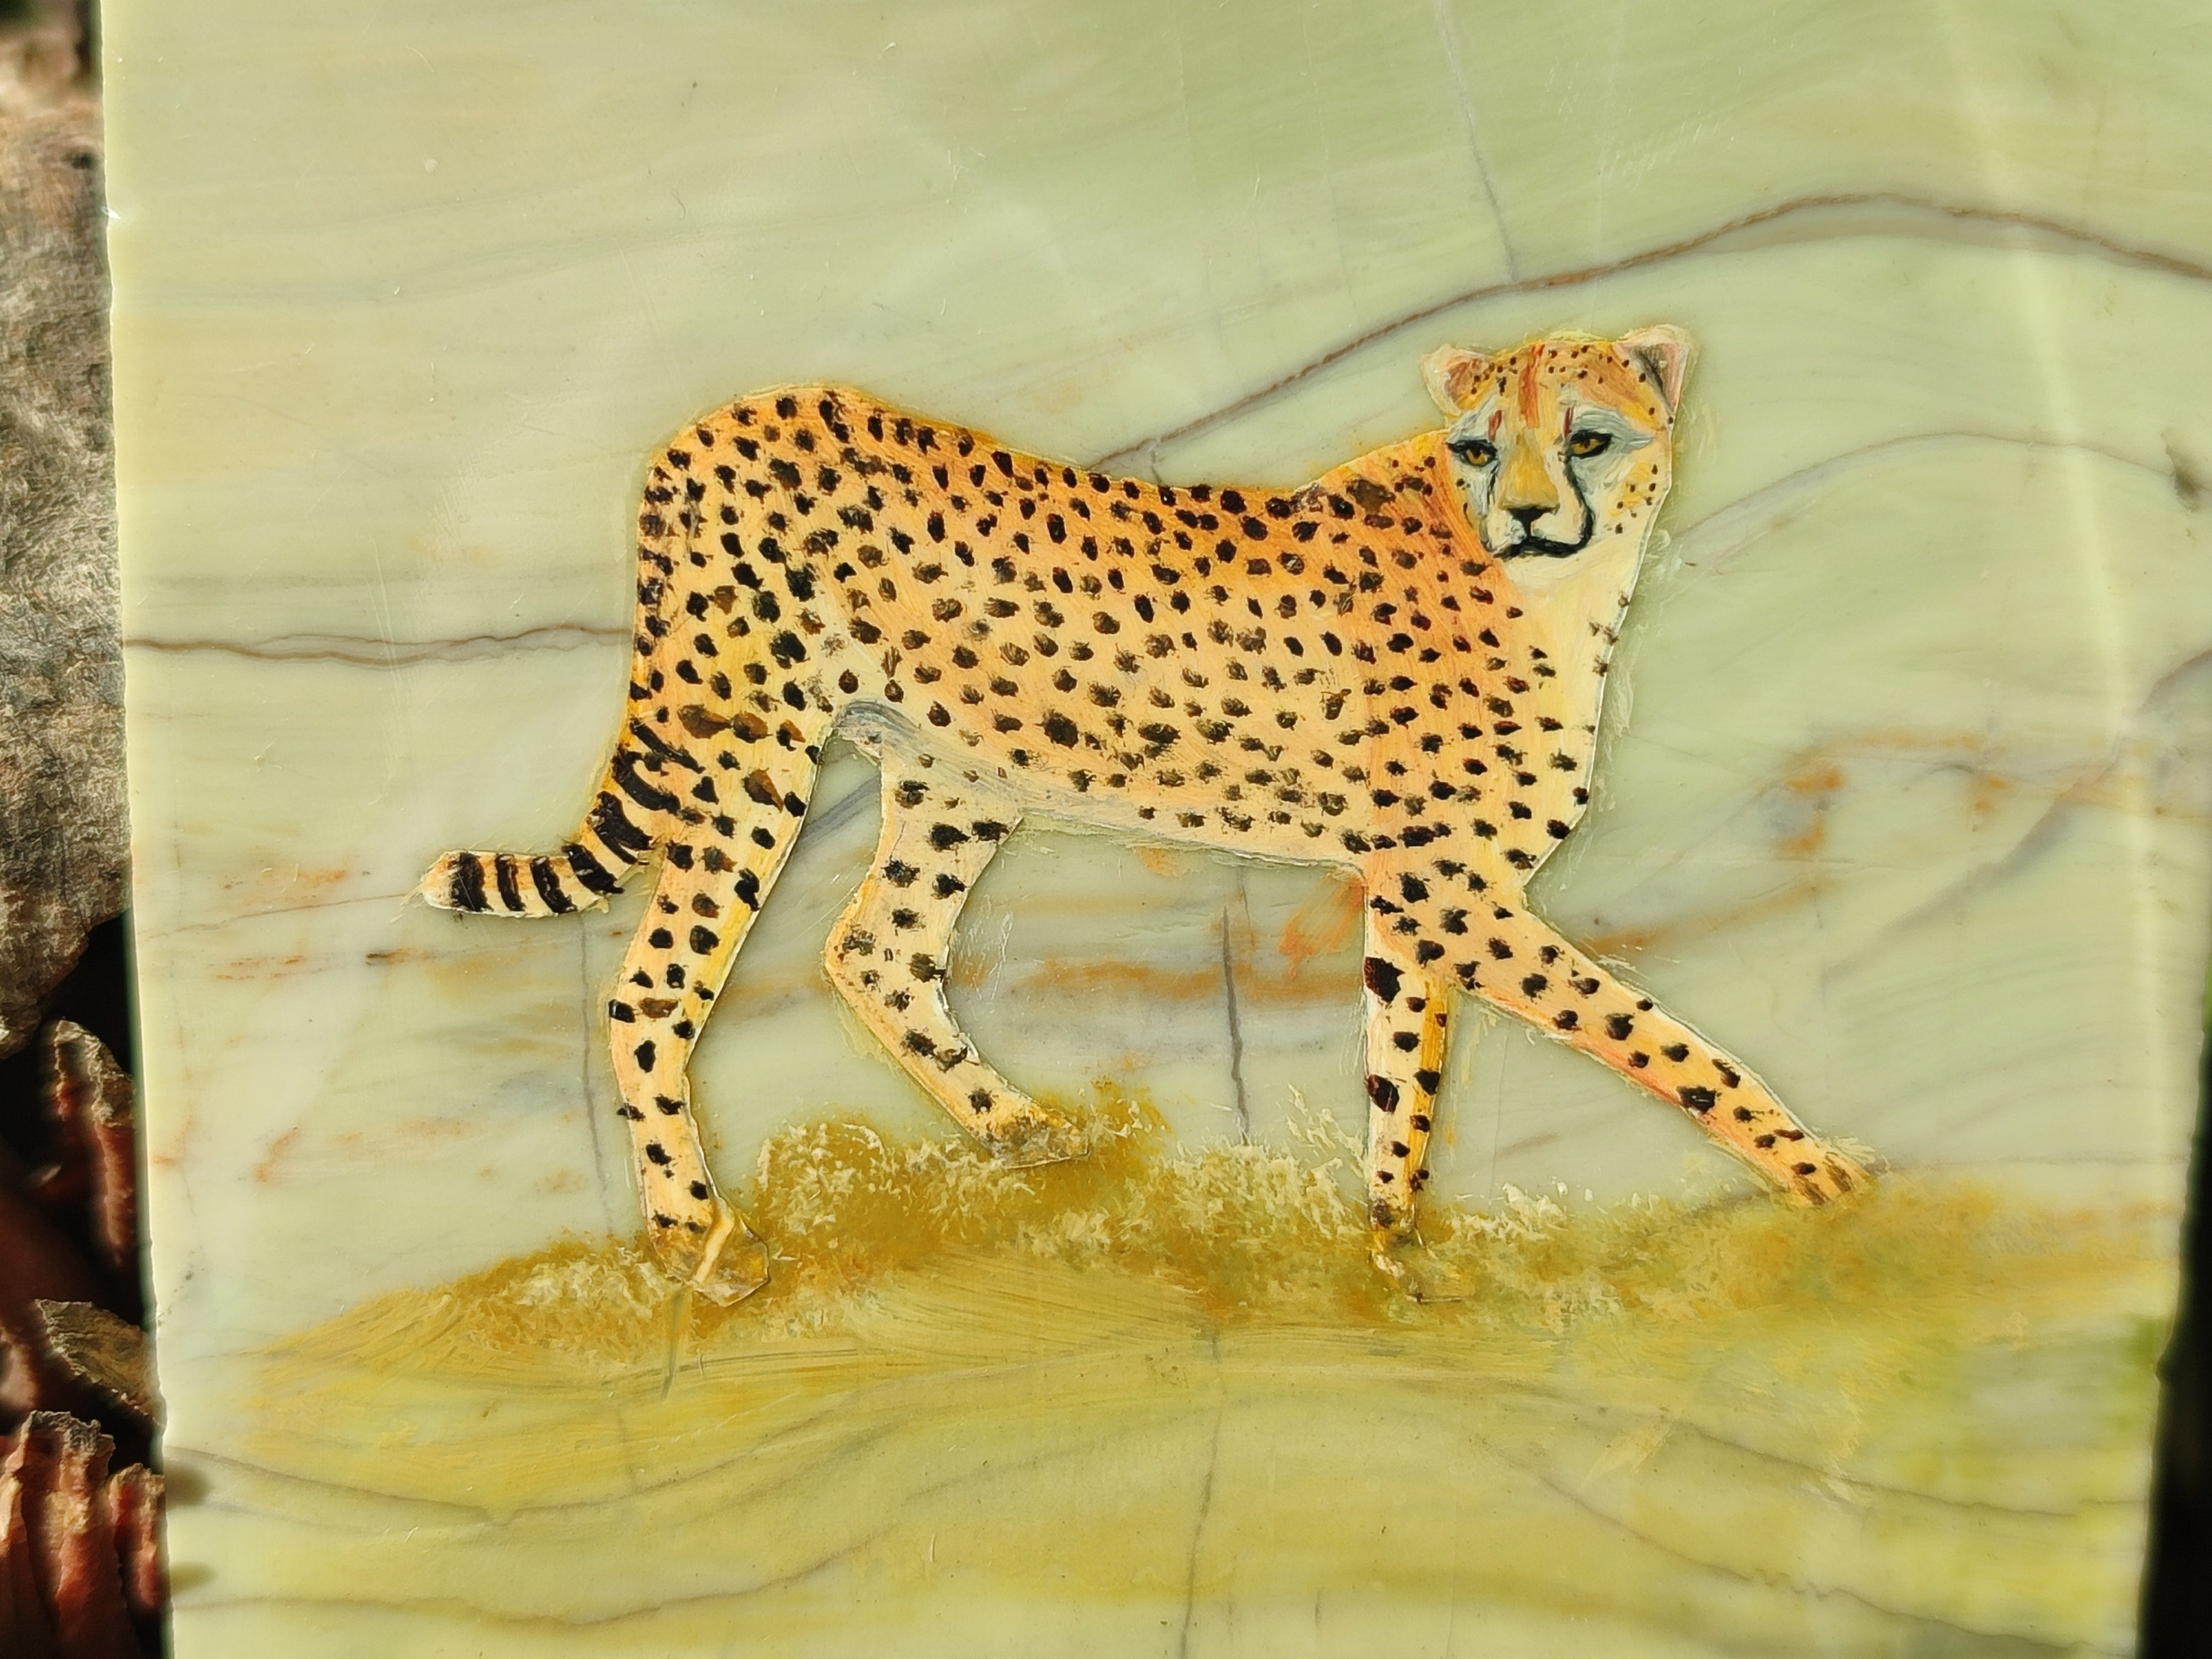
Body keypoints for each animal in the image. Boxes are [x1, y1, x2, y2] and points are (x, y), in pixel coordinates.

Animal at [422, 326, 1869, 1304]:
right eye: (1478, 446)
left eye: (1585, 437)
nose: (1524, 516)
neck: (1559, 595)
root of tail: (734, 410)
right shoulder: (1453, 889)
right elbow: (1661, 1038)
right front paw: (1828, 1182)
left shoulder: (1416, 901)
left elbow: (1402, 1075)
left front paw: (1393, 1246)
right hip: (748, 760)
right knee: (653, 988)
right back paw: (699, 1240)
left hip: (957, 777)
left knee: (876, 948)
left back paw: (1033, 1140)